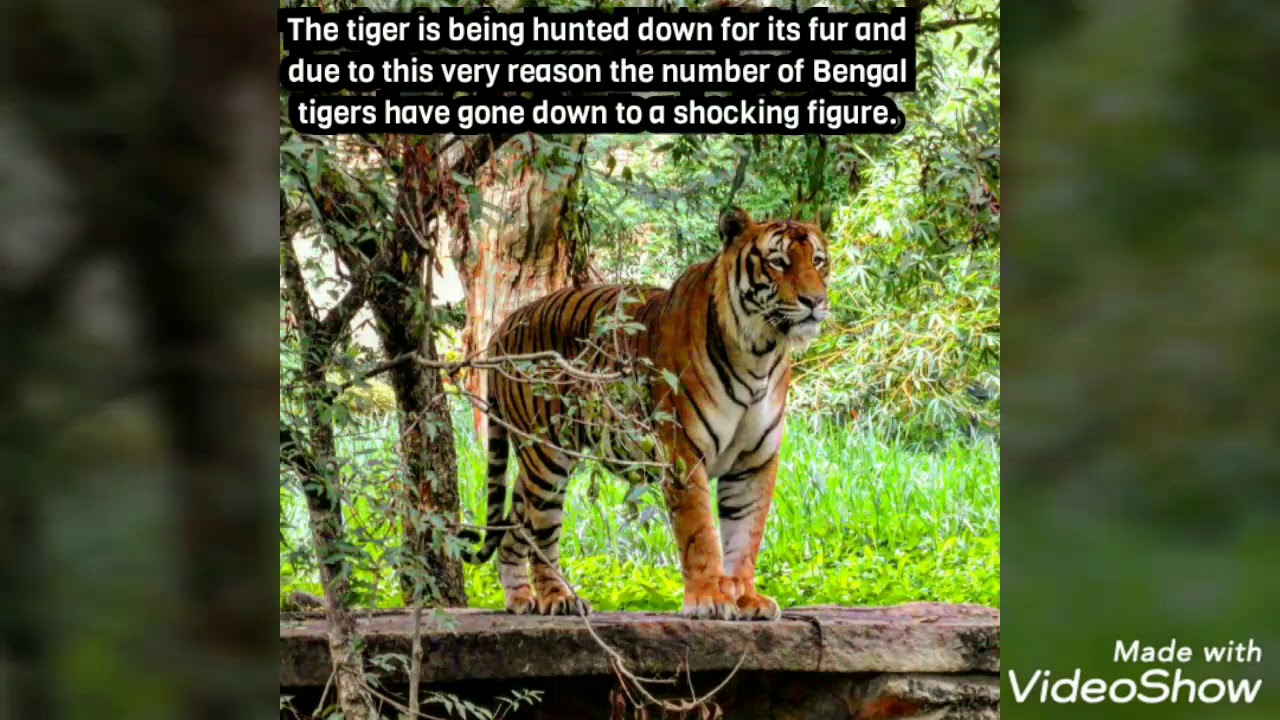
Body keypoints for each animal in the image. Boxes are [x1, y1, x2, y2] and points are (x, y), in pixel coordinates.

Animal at [459, 208, 831, 621]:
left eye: (818, 261)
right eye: (778, 262)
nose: (815, 300)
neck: (760, 352)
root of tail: (507, 323)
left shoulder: (756, 460)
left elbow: (746, 533)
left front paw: (747, 599)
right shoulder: (684, 453)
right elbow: (700, 533)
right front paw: (709, 599)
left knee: (513, 529)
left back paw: (521, 599)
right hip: (546, 455)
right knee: (542, 530)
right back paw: (558, 598)